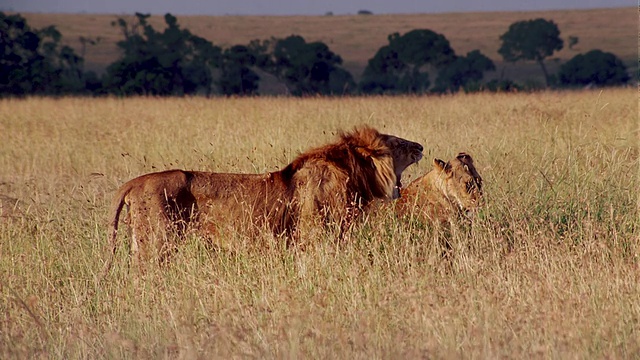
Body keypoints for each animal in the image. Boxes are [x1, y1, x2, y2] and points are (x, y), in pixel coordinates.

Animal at [104, 125, 424, 272]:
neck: (354, 174)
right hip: (157, 242)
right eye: (398, 143)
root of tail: (133, 183)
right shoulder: (315, 237)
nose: (421, 146)